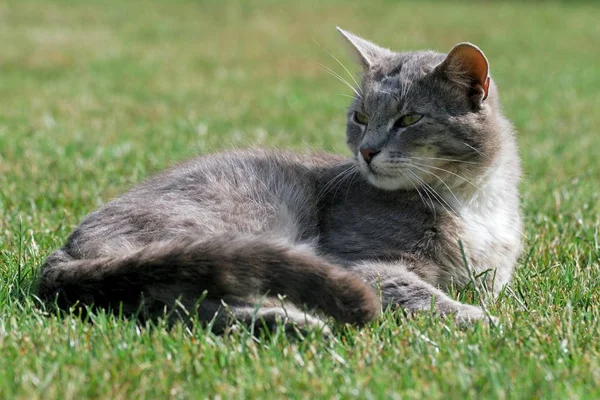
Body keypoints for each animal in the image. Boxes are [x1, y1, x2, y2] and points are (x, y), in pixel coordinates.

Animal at [37, 28, 524, 332]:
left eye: (409, 119)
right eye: (360, 117)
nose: (366, 150)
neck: (471, 202)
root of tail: (63, 254)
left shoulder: (490, 273)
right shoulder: (358, 262)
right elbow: (421, 292)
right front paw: (483, 322)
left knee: (171, 307)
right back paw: (300, 322)